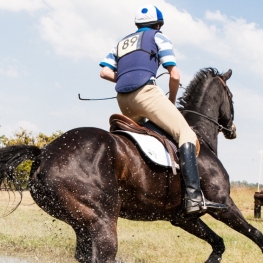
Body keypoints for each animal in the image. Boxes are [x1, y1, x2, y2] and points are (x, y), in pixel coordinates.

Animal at [0, 68, 263, 263]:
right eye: (231, 97)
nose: (233, 130)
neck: (198, 135)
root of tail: (44, 153)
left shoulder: (182, 217)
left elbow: (218, 243)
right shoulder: (222, 204)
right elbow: (256, 234)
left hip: (81, 223)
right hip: (102, 220)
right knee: (104, 255)